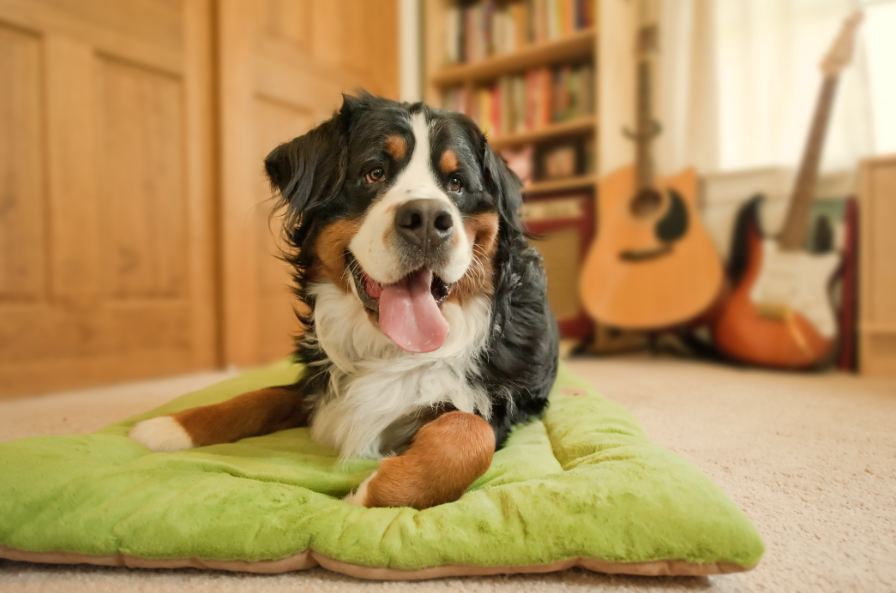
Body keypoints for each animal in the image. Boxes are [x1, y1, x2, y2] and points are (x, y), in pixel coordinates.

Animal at [130, 92, 556, 508]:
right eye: (374, 173)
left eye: (456, 183)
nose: (427, 218)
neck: (388, 347)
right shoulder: (317, 381)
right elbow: (258, 396)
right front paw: (169, 426)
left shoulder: (501, 403)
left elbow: (469, 433)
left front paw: (369, 492)